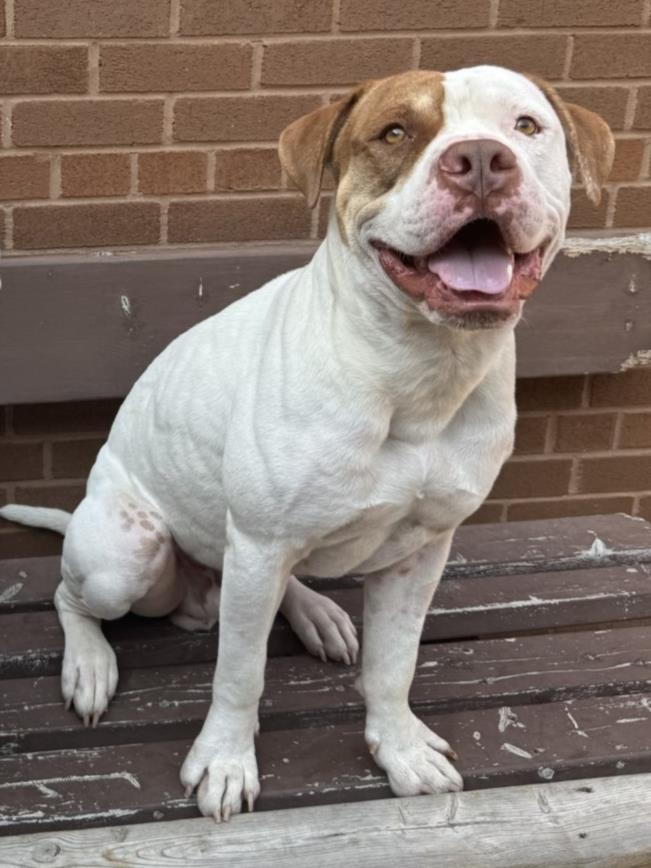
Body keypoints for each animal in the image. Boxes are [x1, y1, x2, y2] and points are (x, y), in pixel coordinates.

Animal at [1, 66, 612, 820]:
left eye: (525, 126)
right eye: (394, 132)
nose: (478, 159)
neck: (418, 369)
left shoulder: (420, 552)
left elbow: (395, 662)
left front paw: (398, 748)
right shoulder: (260, 544)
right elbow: (240, 673)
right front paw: (224, 763)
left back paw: (316, 612)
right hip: (129, 554)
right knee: (71, 596)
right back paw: (89, 662)